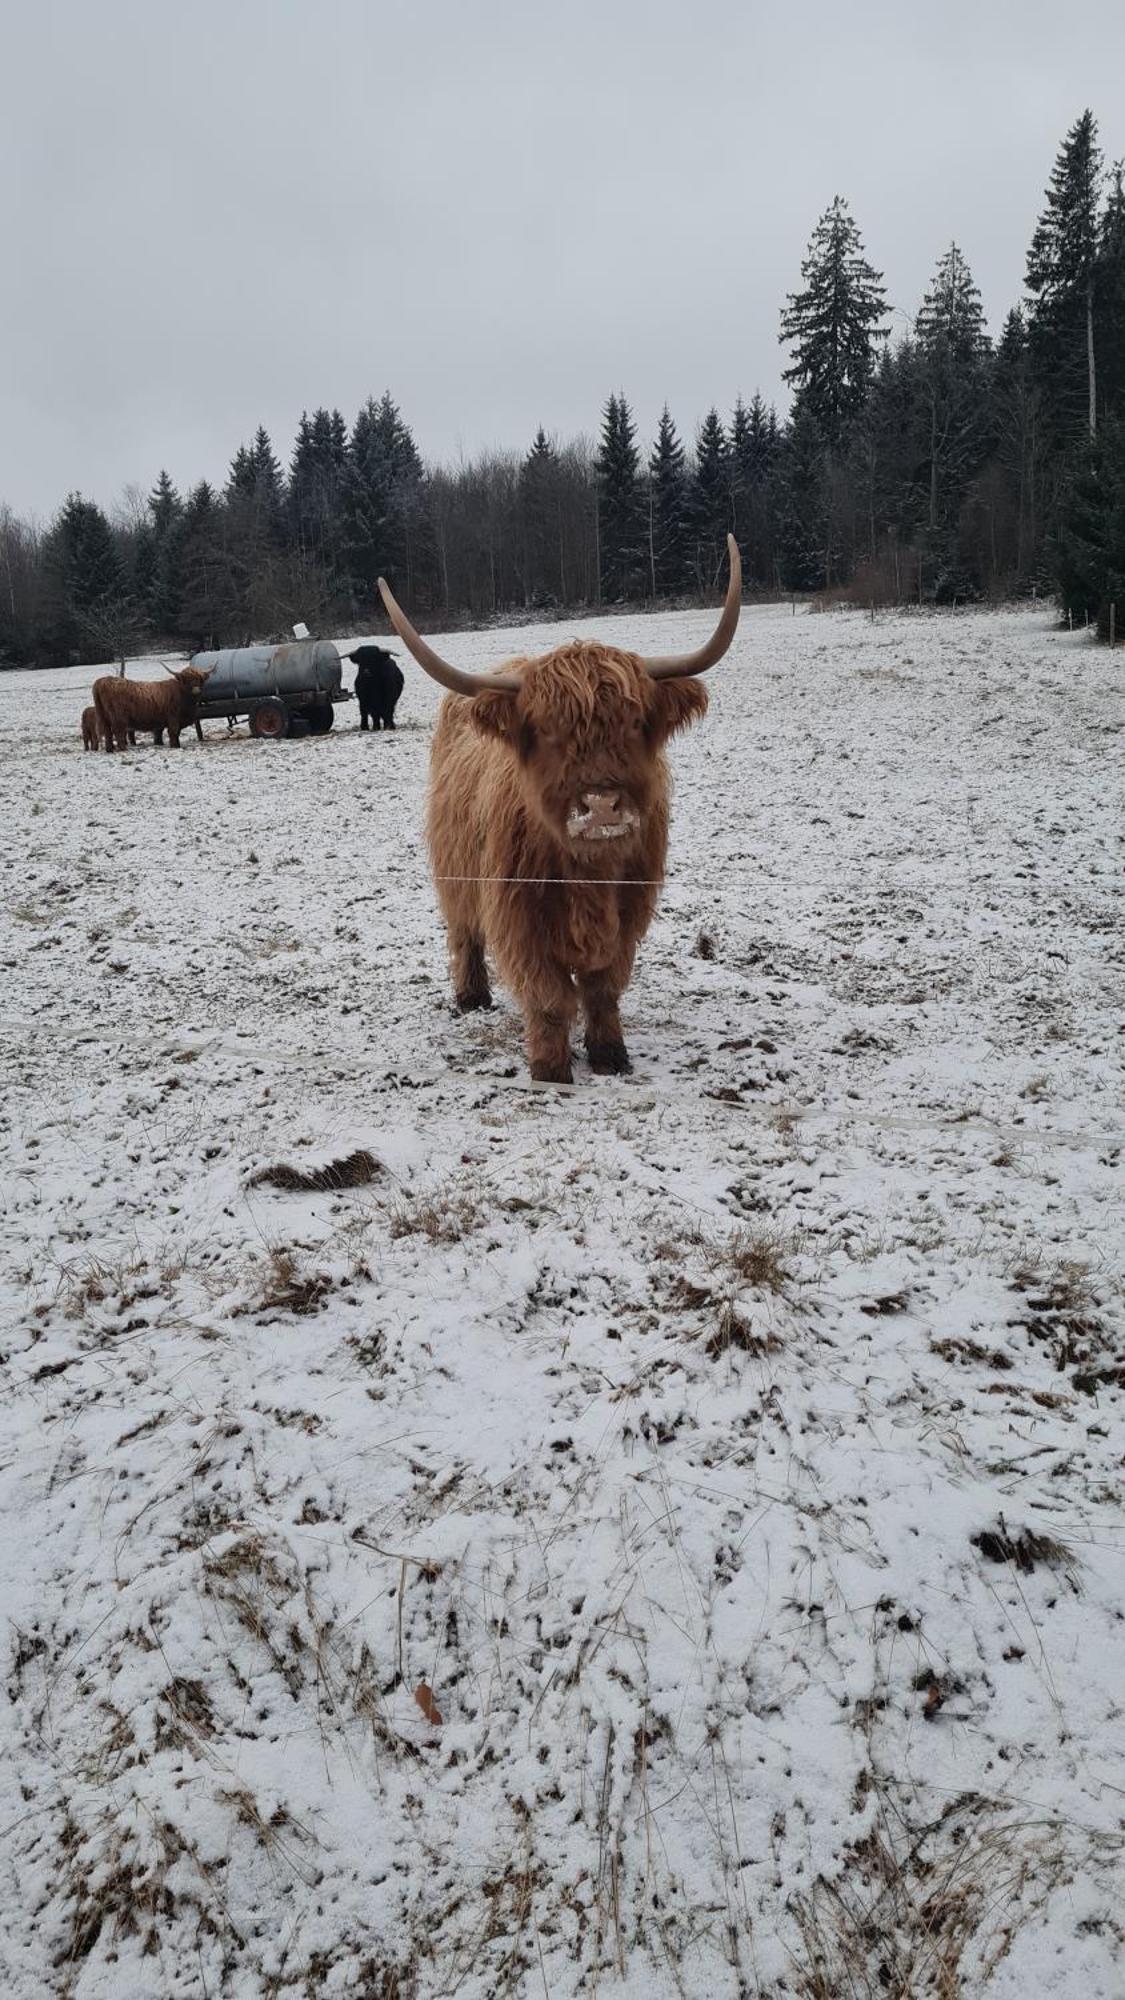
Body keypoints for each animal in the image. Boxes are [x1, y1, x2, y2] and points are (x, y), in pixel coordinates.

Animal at [376, 532, 740, 1080]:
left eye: (636, 723)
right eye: (547, 730)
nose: (602, 807)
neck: (590, 876)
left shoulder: (628, 914)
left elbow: (603, 987)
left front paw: (610, 1055)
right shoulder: (520, 917)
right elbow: (549, 997)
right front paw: (551, 1070)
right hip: (455, 869)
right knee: (464, 932)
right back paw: (471, 996)